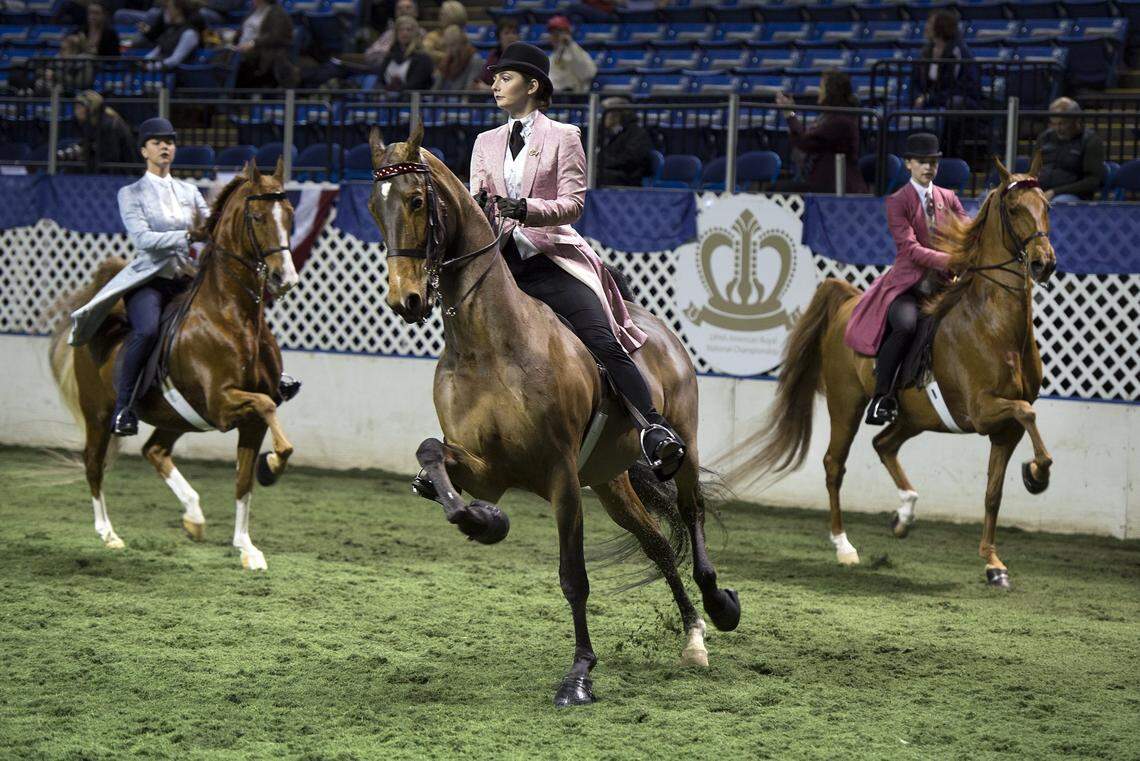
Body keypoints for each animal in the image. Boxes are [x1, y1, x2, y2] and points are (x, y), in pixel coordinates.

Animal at [48, 159, 300, 570]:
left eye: (290, 215)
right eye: (258, 216)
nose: (285, 278)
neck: (234, 319)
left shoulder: (249, 423)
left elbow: (244, 481)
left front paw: (247, 547)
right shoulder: (222, 405)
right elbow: (266, 411)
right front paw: (272, 466)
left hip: (176, 417)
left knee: (154, 451)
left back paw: (193, 517)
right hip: (99, 415)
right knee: (93, 464)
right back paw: (109, 534)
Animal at [365, 121, 740, 707]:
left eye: (416, 200)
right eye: (373, 208)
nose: (405, 300)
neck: (486, 346)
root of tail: (656, 327)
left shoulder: (562, 476)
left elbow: (573, 578)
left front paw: (579, 676)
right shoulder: (487, 468)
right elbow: (433, 456)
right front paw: (483, 521)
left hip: (681, 444)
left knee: (691, 510)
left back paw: (718, 607)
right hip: (609, 482)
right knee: (657, 544)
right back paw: (693, 636)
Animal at [725, 157, 1057, 589]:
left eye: (1045, 206)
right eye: (1015, 208)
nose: (1044, 263)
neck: (997, 328)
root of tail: (849, 302)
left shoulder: (1004, 431)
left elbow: (994, 491)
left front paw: (994, 563)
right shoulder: (982, 410)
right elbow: (1027, 412)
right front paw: (1036, 476)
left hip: (915, 416)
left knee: (884, 444)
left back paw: (904, 516)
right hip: (846, 403)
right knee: (835, 464)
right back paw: (845, 546)